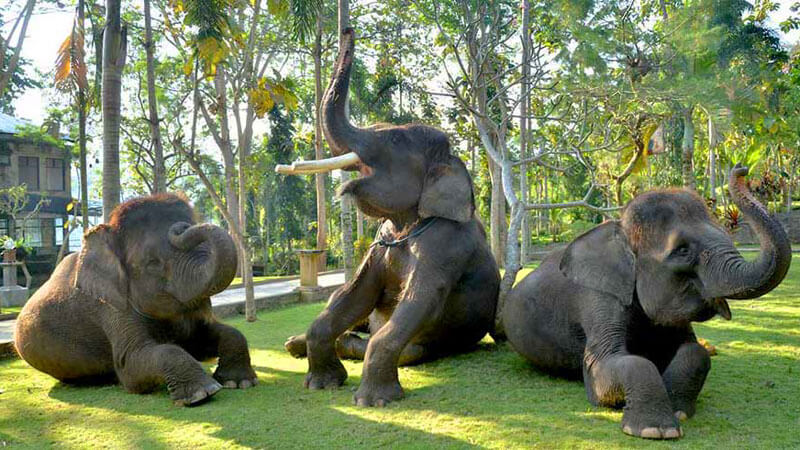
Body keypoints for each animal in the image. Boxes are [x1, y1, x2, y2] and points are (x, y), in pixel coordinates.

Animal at [13, 195, 256, 406]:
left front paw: (239, 382)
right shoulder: (111, 309)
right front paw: (202, 393)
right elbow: (131, 364)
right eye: (152, 263)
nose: (181, 227)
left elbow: (209, 338)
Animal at [278, 28, 496, 408]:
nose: (347, 29)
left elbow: (421, 298)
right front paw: (322, 384)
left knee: (411, 350)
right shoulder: (380, 244)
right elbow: (357, 292)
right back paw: (294, 345)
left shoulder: (446, 245)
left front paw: (373, 401)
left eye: (393, 138)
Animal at [504, 165, 792, 440]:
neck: (620, 228)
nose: (741, 170)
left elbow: (694, 349)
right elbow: (608, 364)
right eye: (683, 250)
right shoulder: (599, 298)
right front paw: (656, 430)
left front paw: (678, 410)